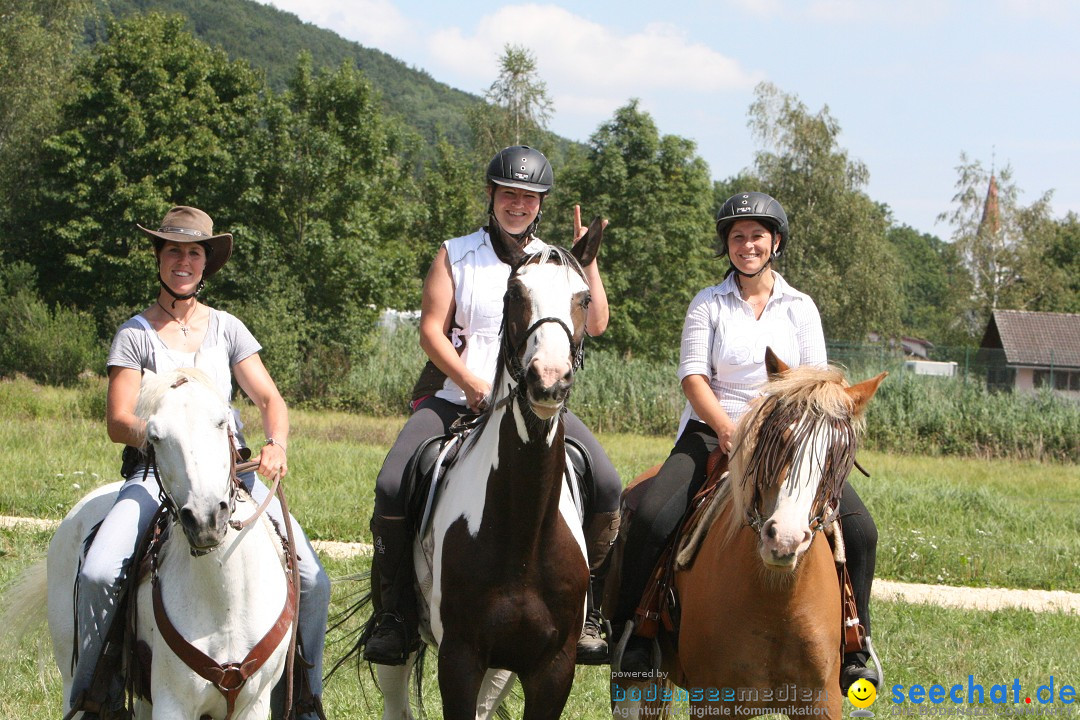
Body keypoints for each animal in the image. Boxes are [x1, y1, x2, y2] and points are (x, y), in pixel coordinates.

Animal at [3, 369, 295, 716]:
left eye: (222, 421)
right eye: (154, 437)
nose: (205, 519)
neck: (226, 597)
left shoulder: (253, 704)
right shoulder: (173, 703)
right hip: (72, 674)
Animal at [375, 225, 604, 720]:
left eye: (584, 298)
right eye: (515, 293)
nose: (548, 380)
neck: (524, 532)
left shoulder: (552, 668)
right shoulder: (459, 658)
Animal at [613, 351, 881, 716]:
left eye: (838, 454)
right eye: (778, 438)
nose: (784, 539)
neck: (777, 599)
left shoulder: (821, 701)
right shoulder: (713, 702)